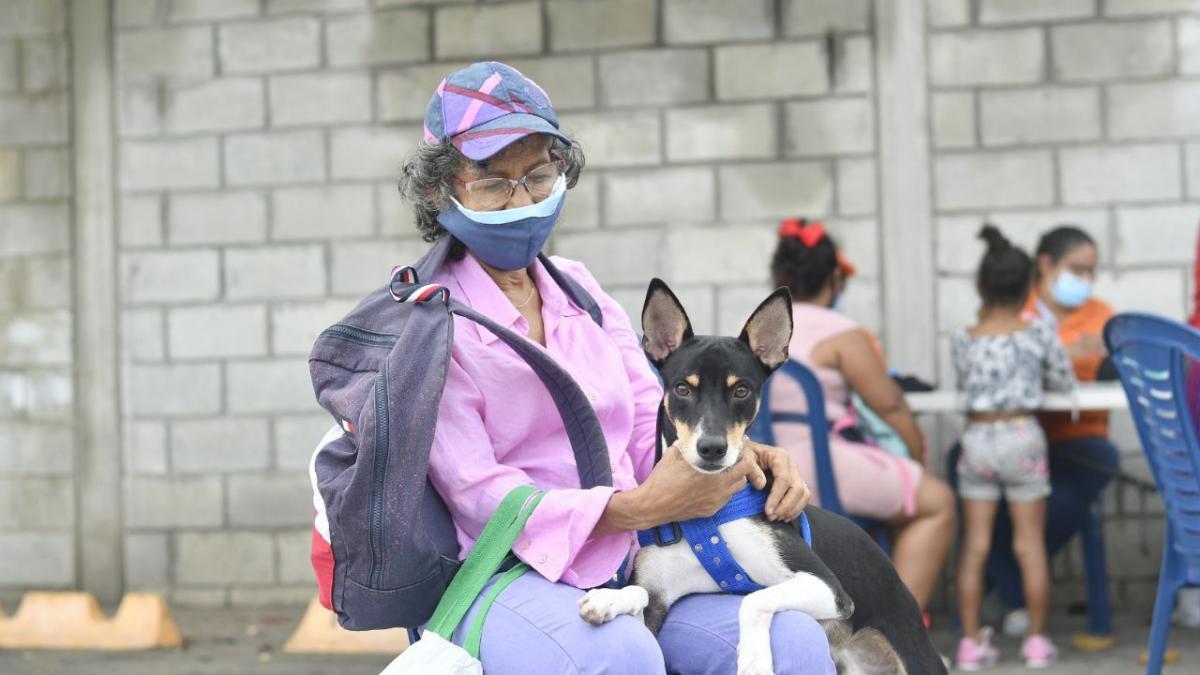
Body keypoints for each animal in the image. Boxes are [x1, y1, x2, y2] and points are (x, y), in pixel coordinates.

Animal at [580, 278, 945, 672]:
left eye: (741, 390)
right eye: (682, 388)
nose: (712, 448)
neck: (708, 517)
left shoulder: (828, 589)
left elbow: (753, 599)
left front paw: (753, 658)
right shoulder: (657, 602)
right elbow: (637, 593)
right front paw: (607, 599)